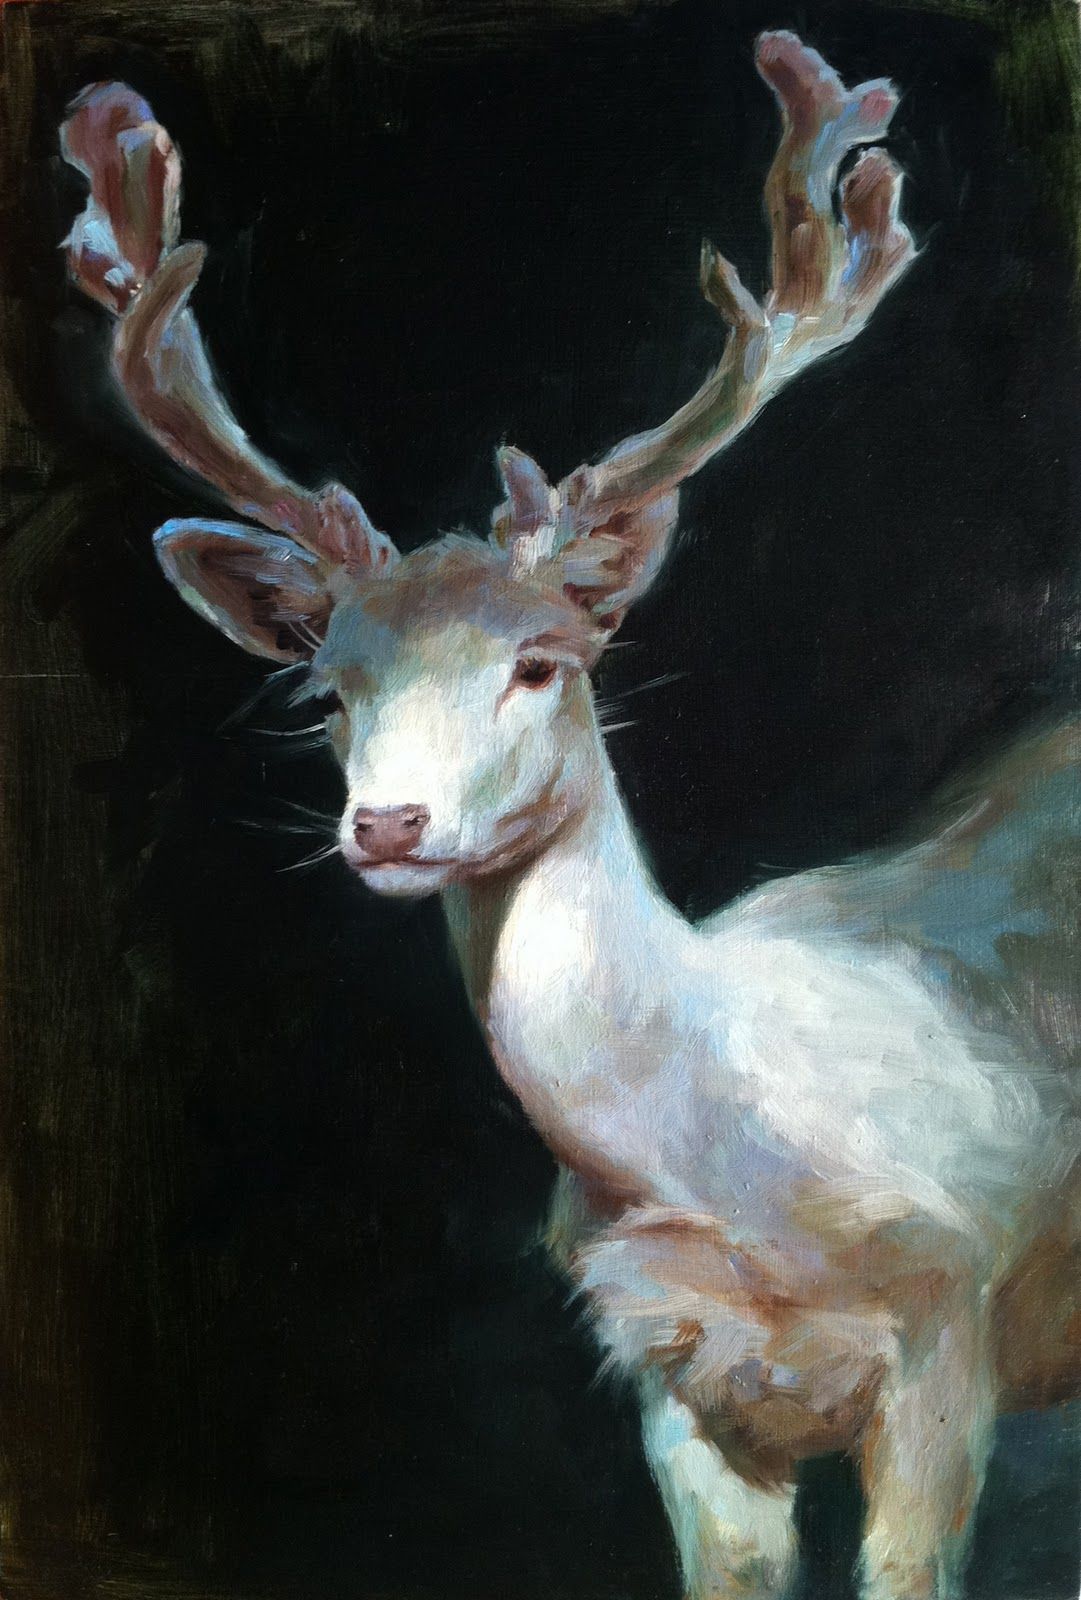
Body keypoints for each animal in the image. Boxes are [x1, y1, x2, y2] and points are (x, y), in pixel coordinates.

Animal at [60, 31, 1080, 1600]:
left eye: (541, 660)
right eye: (328, 687)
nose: (389, 825)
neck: (719, 1162)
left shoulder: (952, 1324)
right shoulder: (669, 1371)